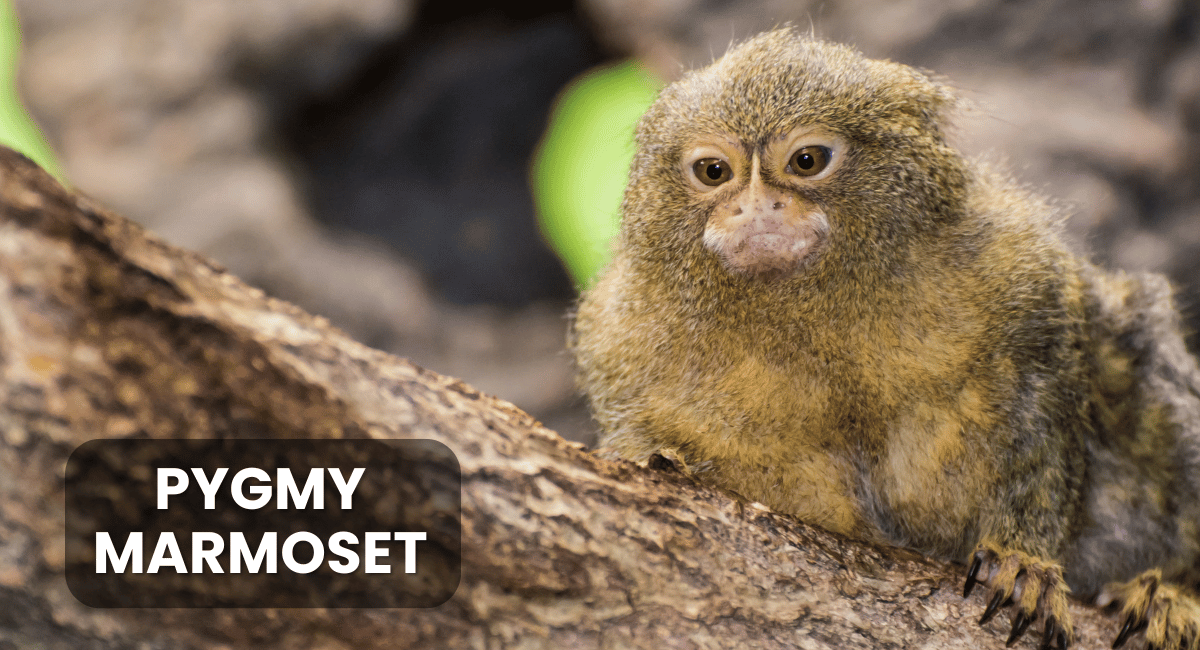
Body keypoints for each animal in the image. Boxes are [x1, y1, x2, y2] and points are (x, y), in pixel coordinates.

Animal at [568, 29, 1200, 650]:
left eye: (806, 161)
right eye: (714, 172)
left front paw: (1023, 559)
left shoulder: (1018, 270)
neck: (808, 308)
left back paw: (1169, 598)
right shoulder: (621, 338)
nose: (756, 207)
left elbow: (1042, 418)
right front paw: (657, 457)